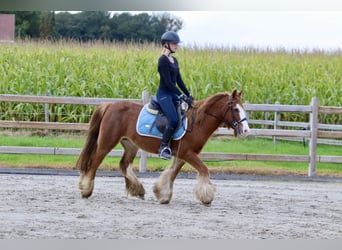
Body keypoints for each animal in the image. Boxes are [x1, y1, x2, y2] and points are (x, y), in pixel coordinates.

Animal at [77, 89, 248, 205]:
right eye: (235, 109)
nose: (246, 130)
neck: (196, 123)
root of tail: (111, 105)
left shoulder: (182, 155)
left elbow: (172, 173)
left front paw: (162, 194)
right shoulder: (187, 153)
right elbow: (204, 170)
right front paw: (207, 197)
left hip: (130, 144)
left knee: (124, 164)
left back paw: (138, 190)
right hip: (106, 143)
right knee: (94, 162)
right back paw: (86, 189)